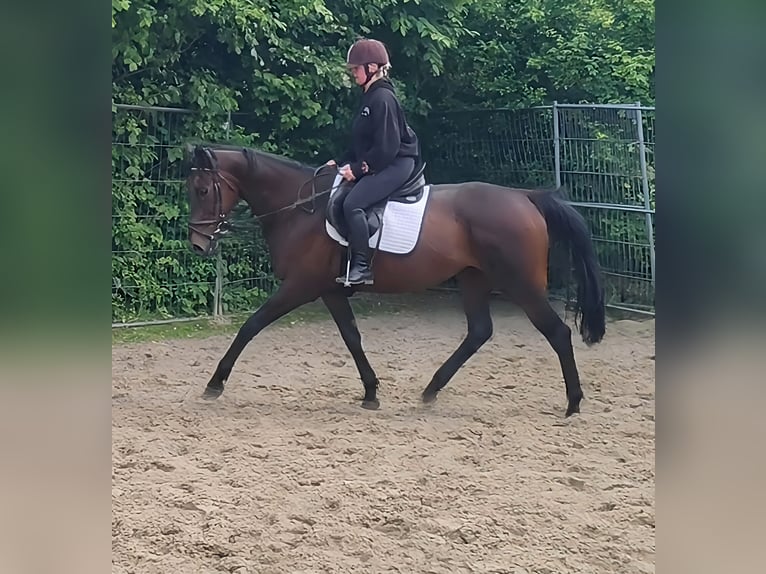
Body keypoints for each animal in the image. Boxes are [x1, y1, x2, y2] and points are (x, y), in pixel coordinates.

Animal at [184, 143, 605, 417]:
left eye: (202, 190)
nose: (199, 244)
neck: (301, 209)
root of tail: (526, 198)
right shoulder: (330, 290)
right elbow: (352, 337)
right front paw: (371, 391)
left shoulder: (300, 287)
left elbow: (251, 326)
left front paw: (214, 383)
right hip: (473, 279)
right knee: (479, 332)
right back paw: (431, 390)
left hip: (522, 284)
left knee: (556, 332)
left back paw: (573, 403)